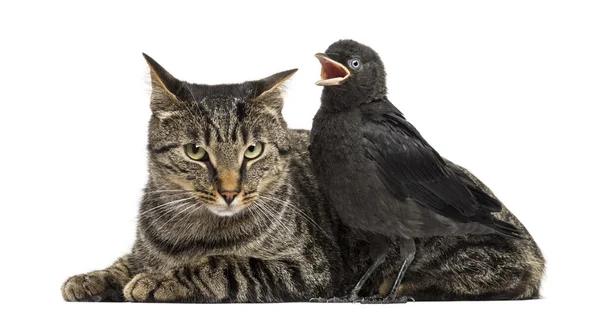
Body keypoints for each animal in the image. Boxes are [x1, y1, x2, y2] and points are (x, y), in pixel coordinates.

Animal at [59, 55, 544, 304]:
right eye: (196, 152)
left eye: (252, 151)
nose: (229, 191)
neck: (192, 228)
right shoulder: (145, 246)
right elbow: (127, 262)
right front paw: (93, 277)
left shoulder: (305, 267)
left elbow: (222, 265)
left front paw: (159, 281)